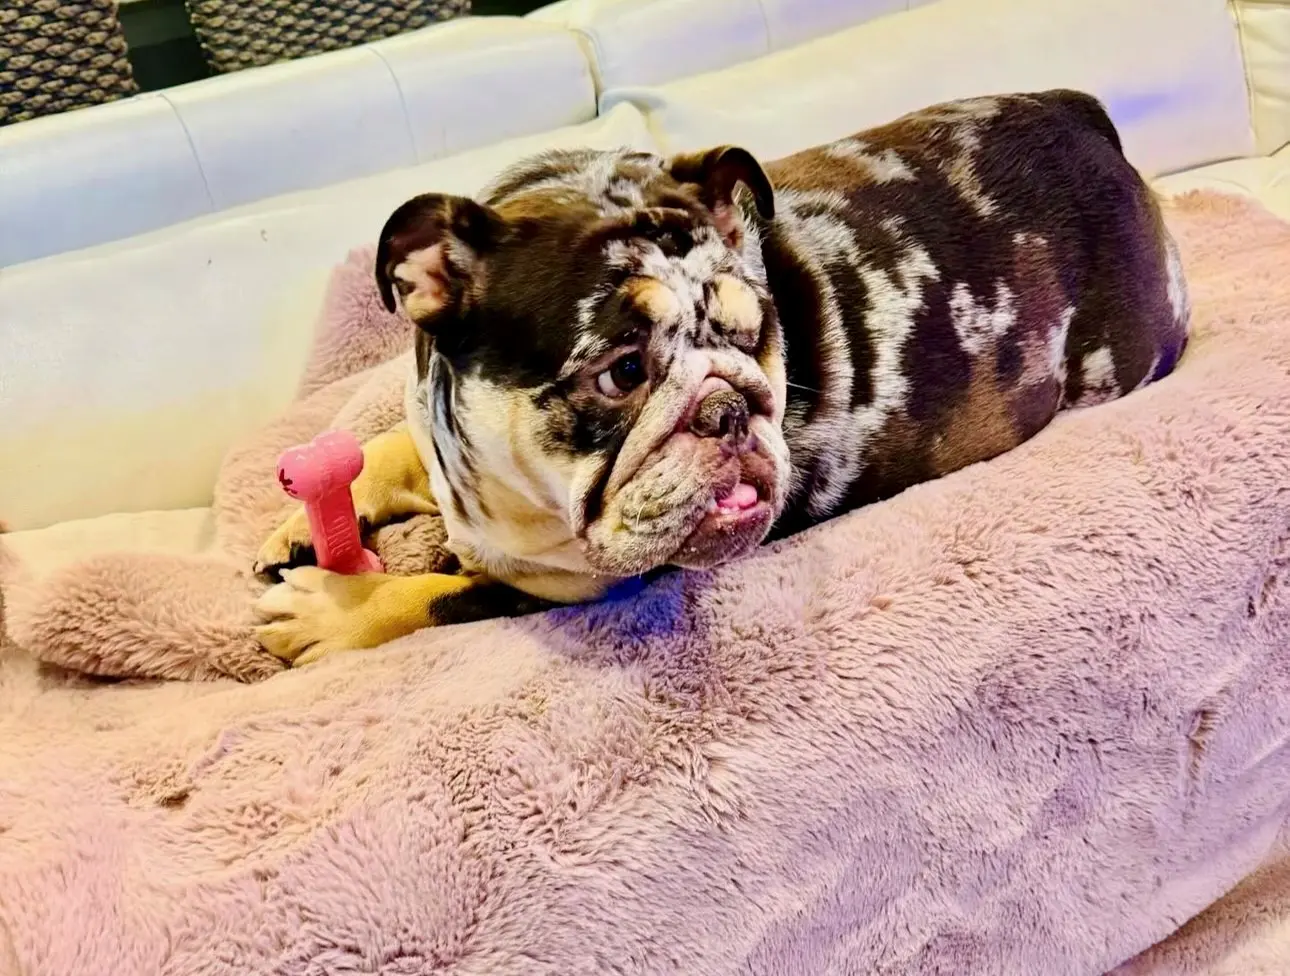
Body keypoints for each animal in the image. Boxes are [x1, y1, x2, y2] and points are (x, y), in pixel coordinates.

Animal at [251, 89, 1186, 660]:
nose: (731, 407)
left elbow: (442, 595)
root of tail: (1080, 113)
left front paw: (331, 608)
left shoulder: (573, 590)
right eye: (623, 371)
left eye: (756, 336)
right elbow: (387, 447)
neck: (502, 492)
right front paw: (305, 521)